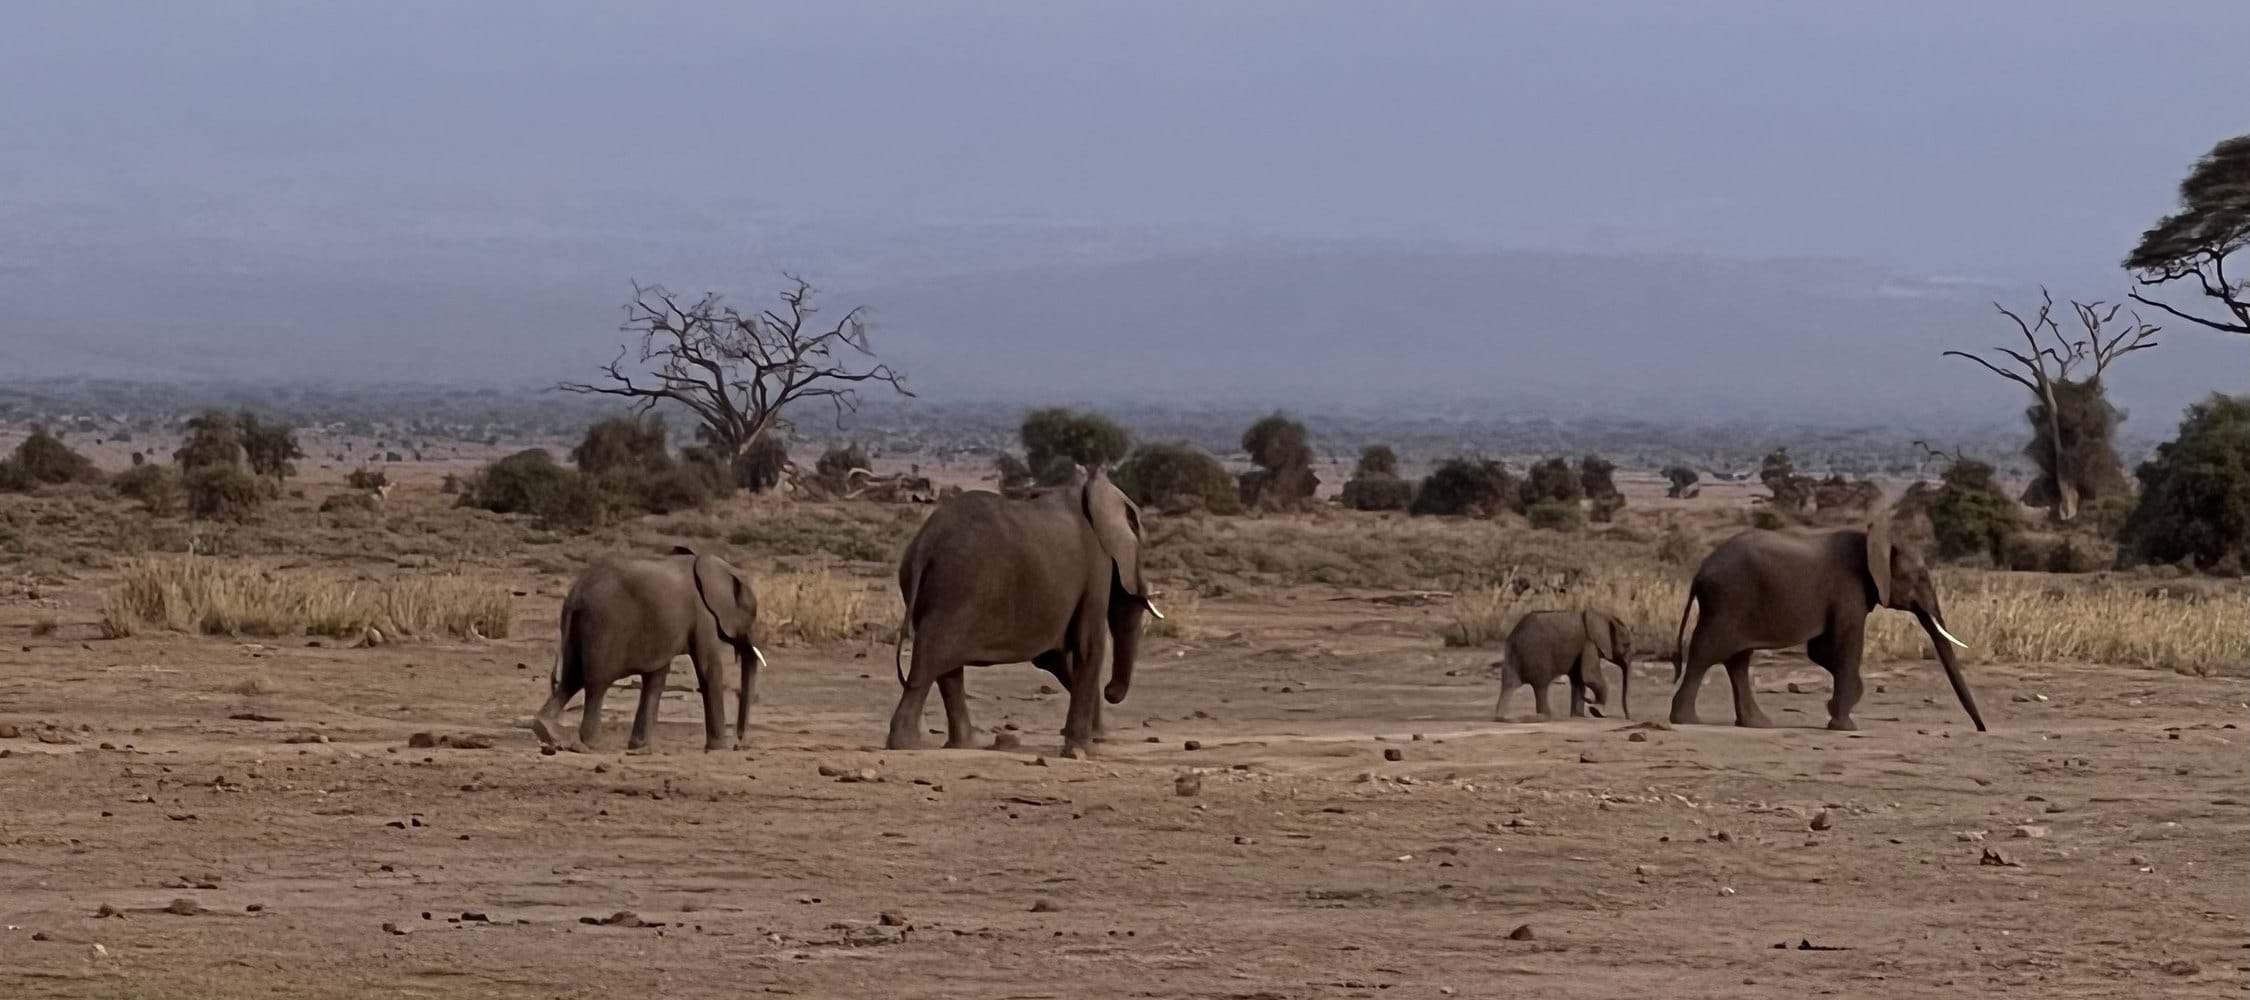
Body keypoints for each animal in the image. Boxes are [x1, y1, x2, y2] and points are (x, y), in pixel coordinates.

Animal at [530, 545, 767, 752]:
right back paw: (591, 744)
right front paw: (718, 748)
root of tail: (576, 593)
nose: (739, 743)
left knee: (571, 679)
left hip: (577, 628)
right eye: (751, 614)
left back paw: (548, 733)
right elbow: (708, 669)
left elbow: (657, 678)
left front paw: (639, 747)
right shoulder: (703, 615)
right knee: (596, 684)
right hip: (602, 627)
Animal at [886, 466, 1161, 757]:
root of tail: (925, 542)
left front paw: (1097, 737)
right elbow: (1089, 647)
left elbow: (1054, 658)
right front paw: (1083, 750)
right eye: (1141, 541)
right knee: (932, 655)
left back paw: (965, 744)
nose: (1111, 692)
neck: (1092, 490)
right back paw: (908, 744)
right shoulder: (1097, 565)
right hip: (956, 586)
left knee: (945, 665)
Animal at [1493, 609, 1634, 721]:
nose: (1628, 718)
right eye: (1627, 645)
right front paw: (1596, 712)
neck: (1603, 615)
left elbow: (1579, 679)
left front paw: (1579, 716)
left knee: (1509, 683)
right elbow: (1589, 676)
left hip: (1514, 656)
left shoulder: (1582, 647)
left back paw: (1500, 717)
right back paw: (1549, 716)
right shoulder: (1589, 643)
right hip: (1536, 655)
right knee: (1541, 685)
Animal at [1667, 520, 1985, 732]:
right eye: (1920, 577)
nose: (1981, 729)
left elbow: (1820, 651)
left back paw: (1758, 724)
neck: (1874, 539)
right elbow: (1848, 645)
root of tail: (1700, 572)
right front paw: (1845, 725)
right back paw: (1685, 721)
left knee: (1737, 661)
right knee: (1706, 653)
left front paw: (1838, 708)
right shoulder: (1849, 591)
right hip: (1727, 602)